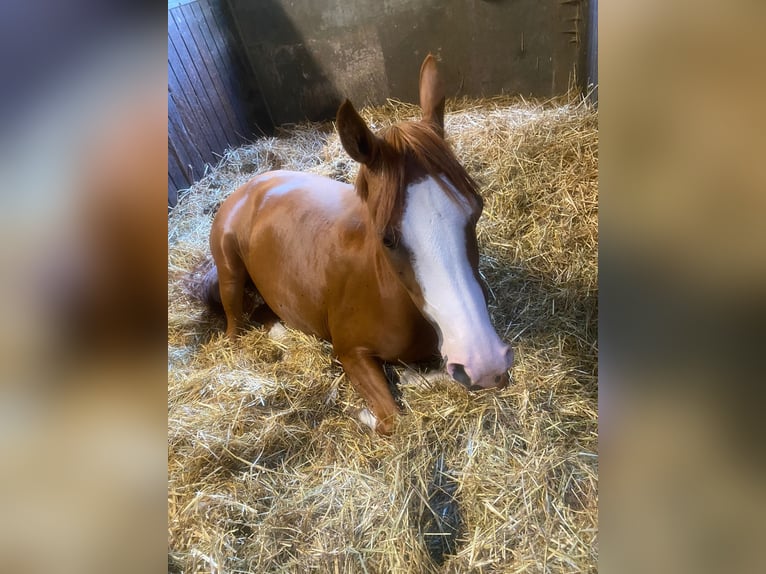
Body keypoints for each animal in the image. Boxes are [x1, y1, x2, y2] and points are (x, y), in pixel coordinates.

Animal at [204, 55, 513, 434]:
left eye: (476, 209)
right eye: (386, 237)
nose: (484, 363)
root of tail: (251, 186)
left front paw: (412, 379)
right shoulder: (351, 352)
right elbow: (391, 419)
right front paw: (365, 413)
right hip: (230, 275)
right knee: (235, 328)